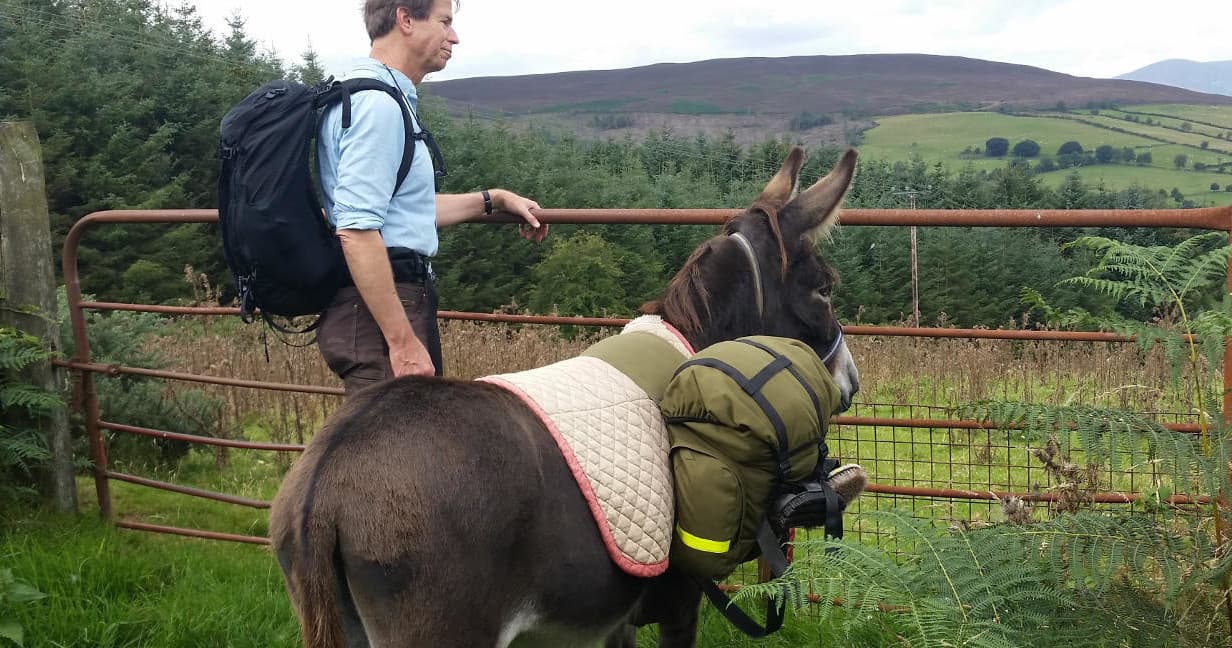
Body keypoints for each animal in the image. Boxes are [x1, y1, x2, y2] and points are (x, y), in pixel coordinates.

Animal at [269, 146, 861, 648]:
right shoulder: (681, 601)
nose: (850, 381)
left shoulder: (618, 619)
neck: (689, 346)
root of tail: (325, 484)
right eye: (826, 288)